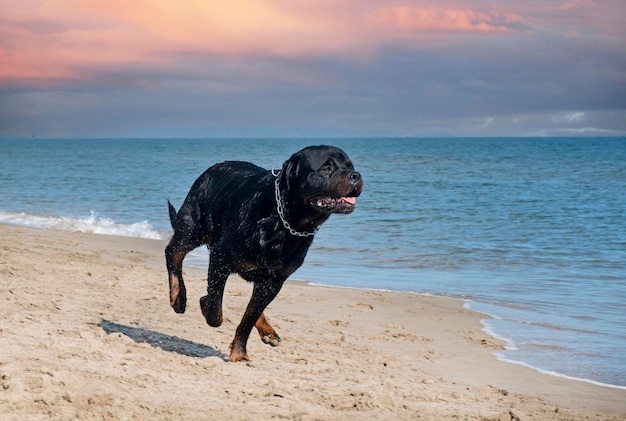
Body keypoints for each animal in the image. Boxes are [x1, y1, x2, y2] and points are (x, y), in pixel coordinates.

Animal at [163, 145, 364, 360]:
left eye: (350, 166)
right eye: (327, 168)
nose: (356, 175)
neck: (284, 223)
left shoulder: (275, 280)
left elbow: (248, 318)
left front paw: (239, 354)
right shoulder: (220, 258)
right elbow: (215, 311)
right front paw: (205, 303)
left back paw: (268, 331)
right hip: (193, 227)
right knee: (173, 252)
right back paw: (178, 296)